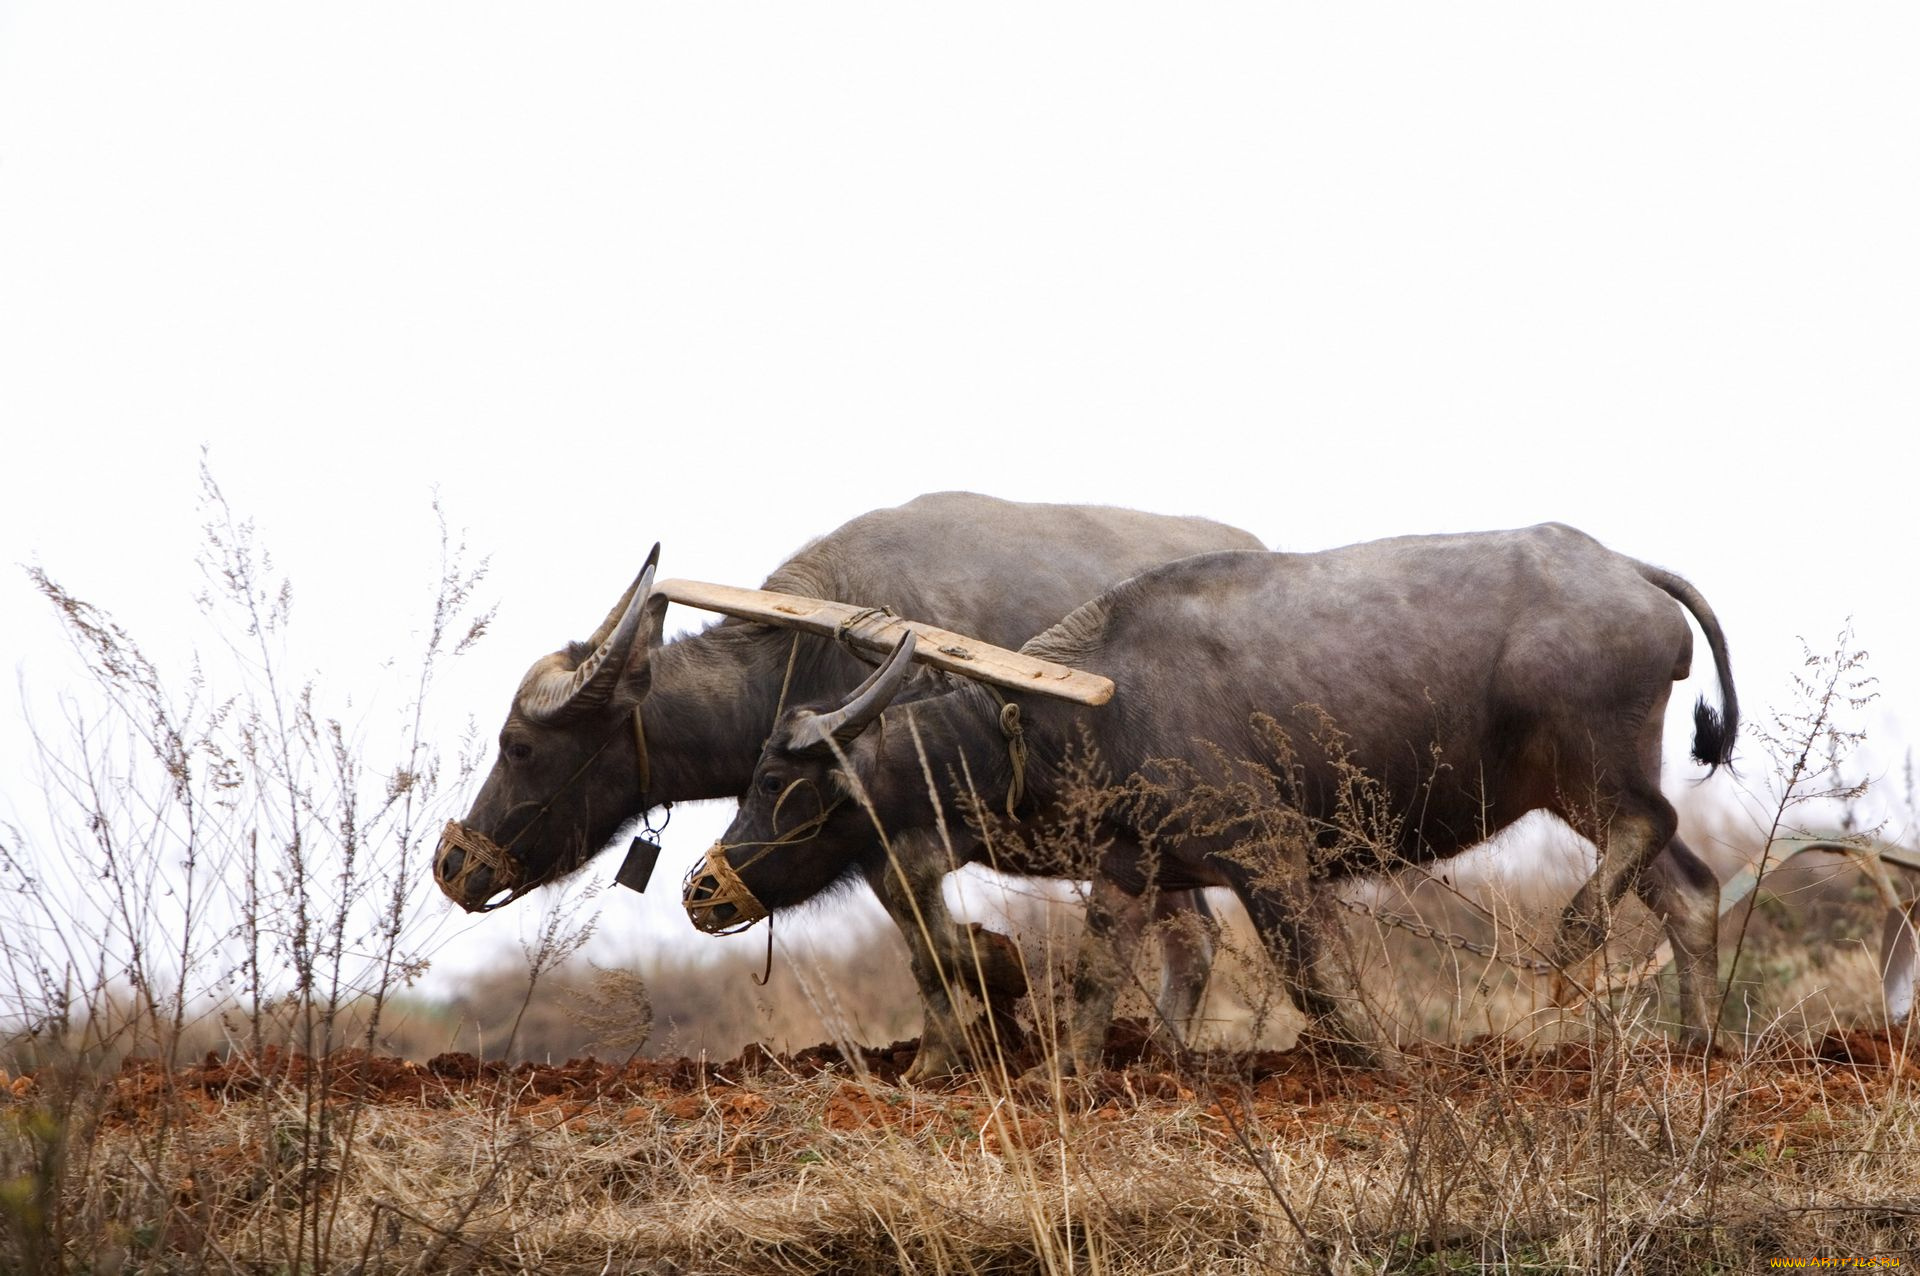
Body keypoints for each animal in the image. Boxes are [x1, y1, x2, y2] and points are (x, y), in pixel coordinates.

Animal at [435, 487, 1259, 1074]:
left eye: (518, 747)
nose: (453, 864)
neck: (816, 653)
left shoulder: (922, 827)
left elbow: (935, 935)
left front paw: (989, 992)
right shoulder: (860, 842)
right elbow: (920, 945)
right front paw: (944, 1053)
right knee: (1194, 940)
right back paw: (1163, 1053)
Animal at [695, 521, 1743, 1066]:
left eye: (780, 782)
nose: (702, 890)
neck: (1079, 711)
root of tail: (1625, 568)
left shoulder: (1268, 863)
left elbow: (1316, 986)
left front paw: (1382, 1061)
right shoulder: (1131, 872)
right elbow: (1094, 975)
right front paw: (1079, 1073)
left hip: (1594, 771)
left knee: (1651, 831)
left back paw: (1573, 938)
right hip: (1576, 790)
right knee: (1689, 888)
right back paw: (1699, 1044)